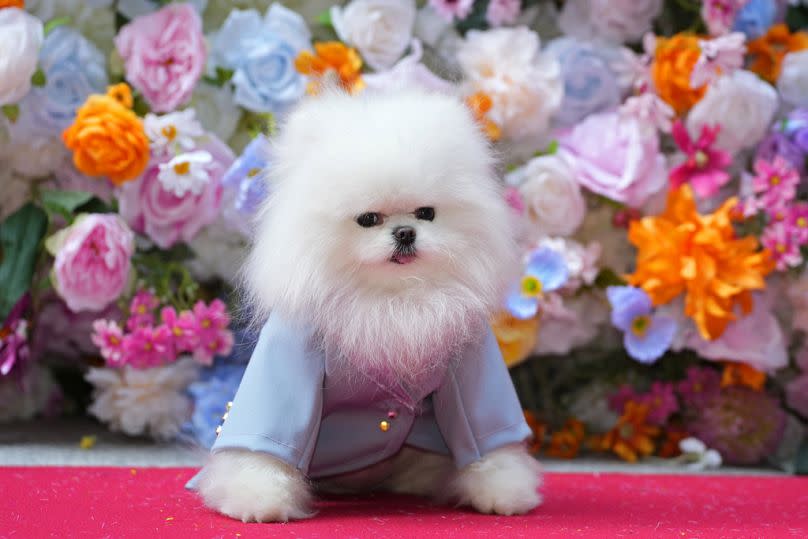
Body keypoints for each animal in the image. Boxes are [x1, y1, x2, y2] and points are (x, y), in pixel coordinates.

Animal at [194, 87, 544, 524]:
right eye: (368, 219)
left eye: (426, 213)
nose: (405, 232)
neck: (390, 299)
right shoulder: (291, 359)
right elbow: (270, 438)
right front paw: (258, 496)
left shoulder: (470, 365)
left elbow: (487, 438)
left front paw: (503, 489)